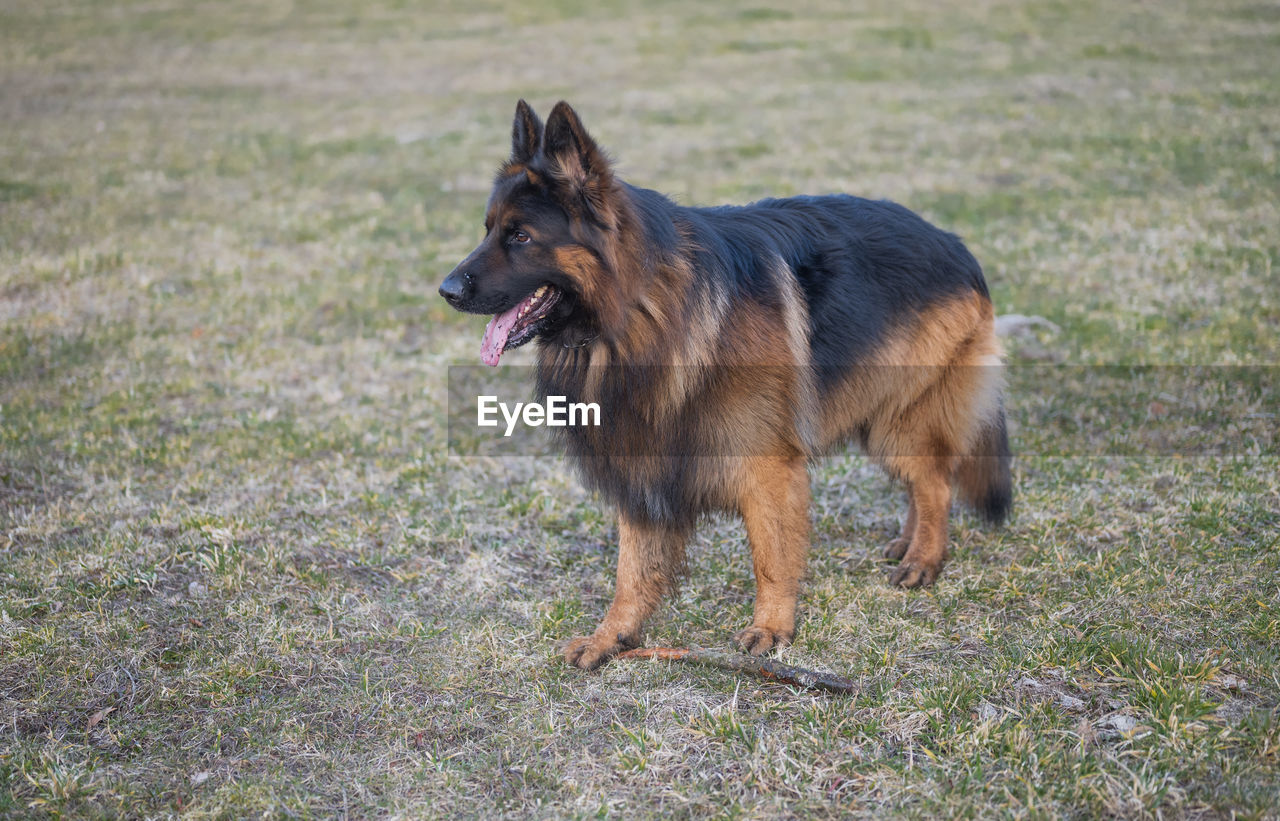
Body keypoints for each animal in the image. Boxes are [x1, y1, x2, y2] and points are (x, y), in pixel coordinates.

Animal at [440, 102, 1008, 671]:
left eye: (520, 237)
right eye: (488, 230)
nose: (445, 290)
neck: (635, 313)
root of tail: (953, 243)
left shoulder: (768, 467)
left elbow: (772, 557)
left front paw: (772, 628)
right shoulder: (643, 459)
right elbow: (632, 570)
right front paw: (612, 637)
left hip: (899, 420)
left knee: (935, 482)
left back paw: (924, 559)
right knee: (924, 479)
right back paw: (908, 543)